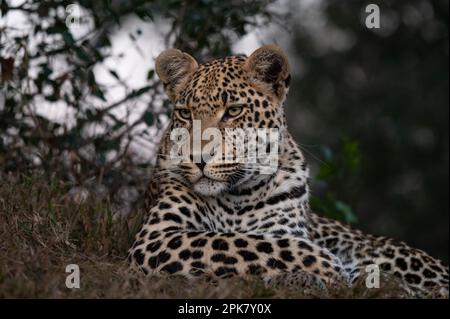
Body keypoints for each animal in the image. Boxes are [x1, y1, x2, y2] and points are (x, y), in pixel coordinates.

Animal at [127, 44, 450, 298]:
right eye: (185, 114)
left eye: (233, 111)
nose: (198, 158)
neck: (237, 197)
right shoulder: (157, 236)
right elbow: (247, 243)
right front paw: (331, 267)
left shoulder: (282, 228)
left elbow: (265, 243)